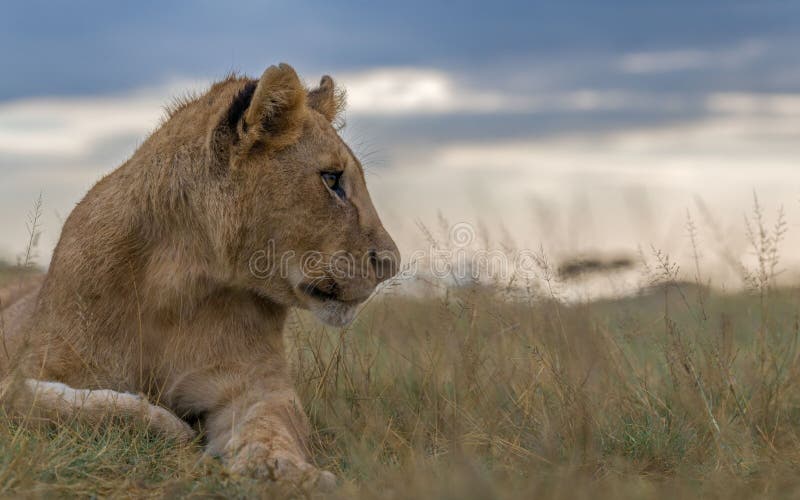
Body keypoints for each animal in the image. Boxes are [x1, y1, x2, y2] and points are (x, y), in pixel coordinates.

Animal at [0, 63, 400, 488]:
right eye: (331, 179)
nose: (392, 264)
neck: (178, 284)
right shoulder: (30, 367)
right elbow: (36, 400)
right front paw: (168, 424)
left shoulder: (256, 384)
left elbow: (271, 426)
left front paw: (282, 473)